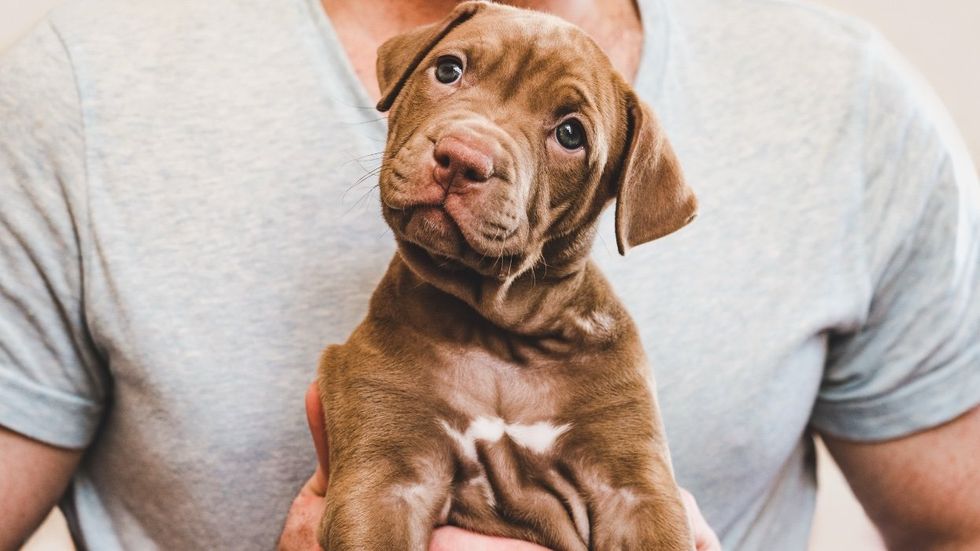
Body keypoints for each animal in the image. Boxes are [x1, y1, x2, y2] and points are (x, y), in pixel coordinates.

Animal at [320, 2, 696, 548]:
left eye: (570, 134)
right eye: (448, 70)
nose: (462, 157)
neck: (497, 329)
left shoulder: (634, 491)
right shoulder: (385, 477)